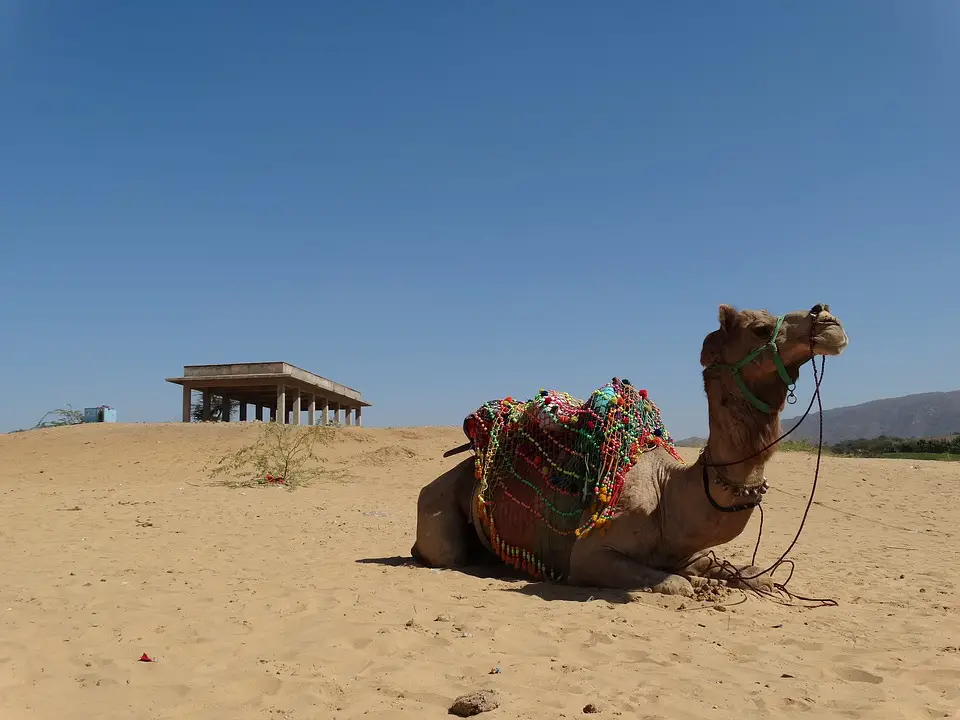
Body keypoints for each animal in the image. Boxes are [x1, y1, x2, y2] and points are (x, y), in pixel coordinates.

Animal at [410, 304, 848, 596]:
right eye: (760, 328)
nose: (829, 319)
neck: (670, 494)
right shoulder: (589, 554)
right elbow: (677, 584)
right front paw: (700, 586)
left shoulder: (681, 550)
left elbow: (746, 569)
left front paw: (755, 579)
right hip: (438, 510)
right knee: (447, 553)